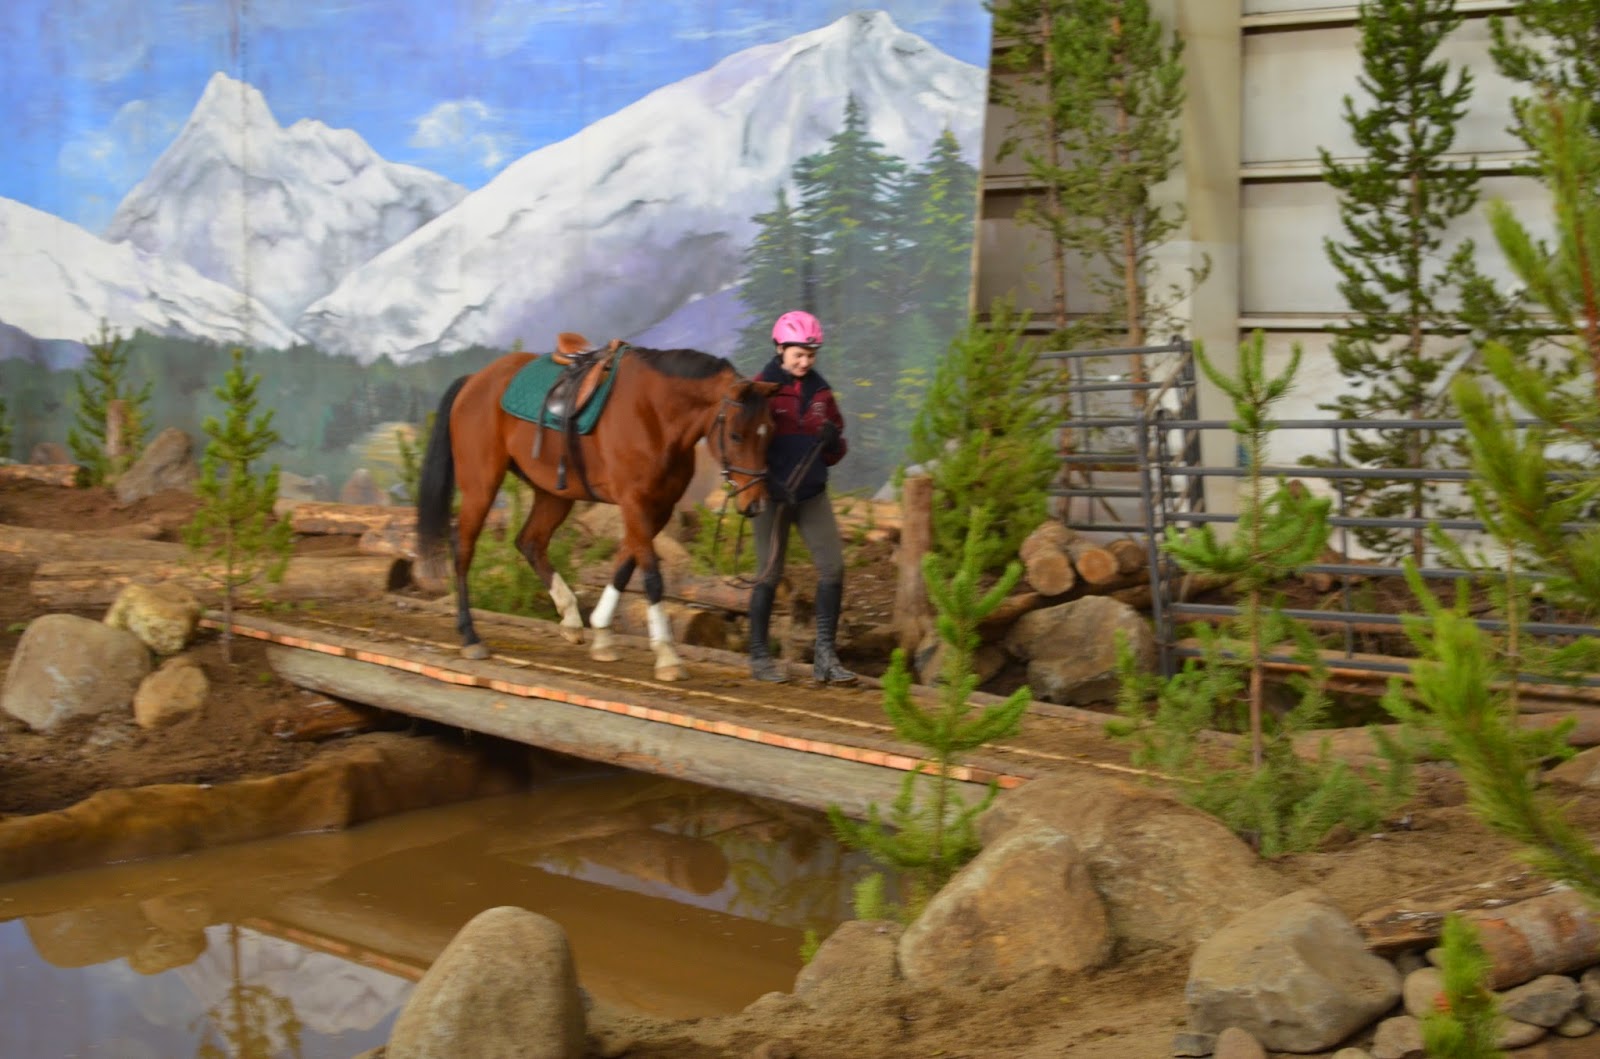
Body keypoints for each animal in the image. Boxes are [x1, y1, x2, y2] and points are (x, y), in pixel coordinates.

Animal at [415, 335, 780, 680]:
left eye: (769, 433)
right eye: (735, 435)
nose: (755, 503)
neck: (655, 413)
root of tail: (474, 380)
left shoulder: (659, 507)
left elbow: (624, 566)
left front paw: (602, 636)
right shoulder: (635, 503)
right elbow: (651, 577)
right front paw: (667, 656)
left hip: (553, 493)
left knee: (530, 542)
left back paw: (570, 618)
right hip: (481, 485)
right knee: (463, 548)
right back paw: (470, 636)